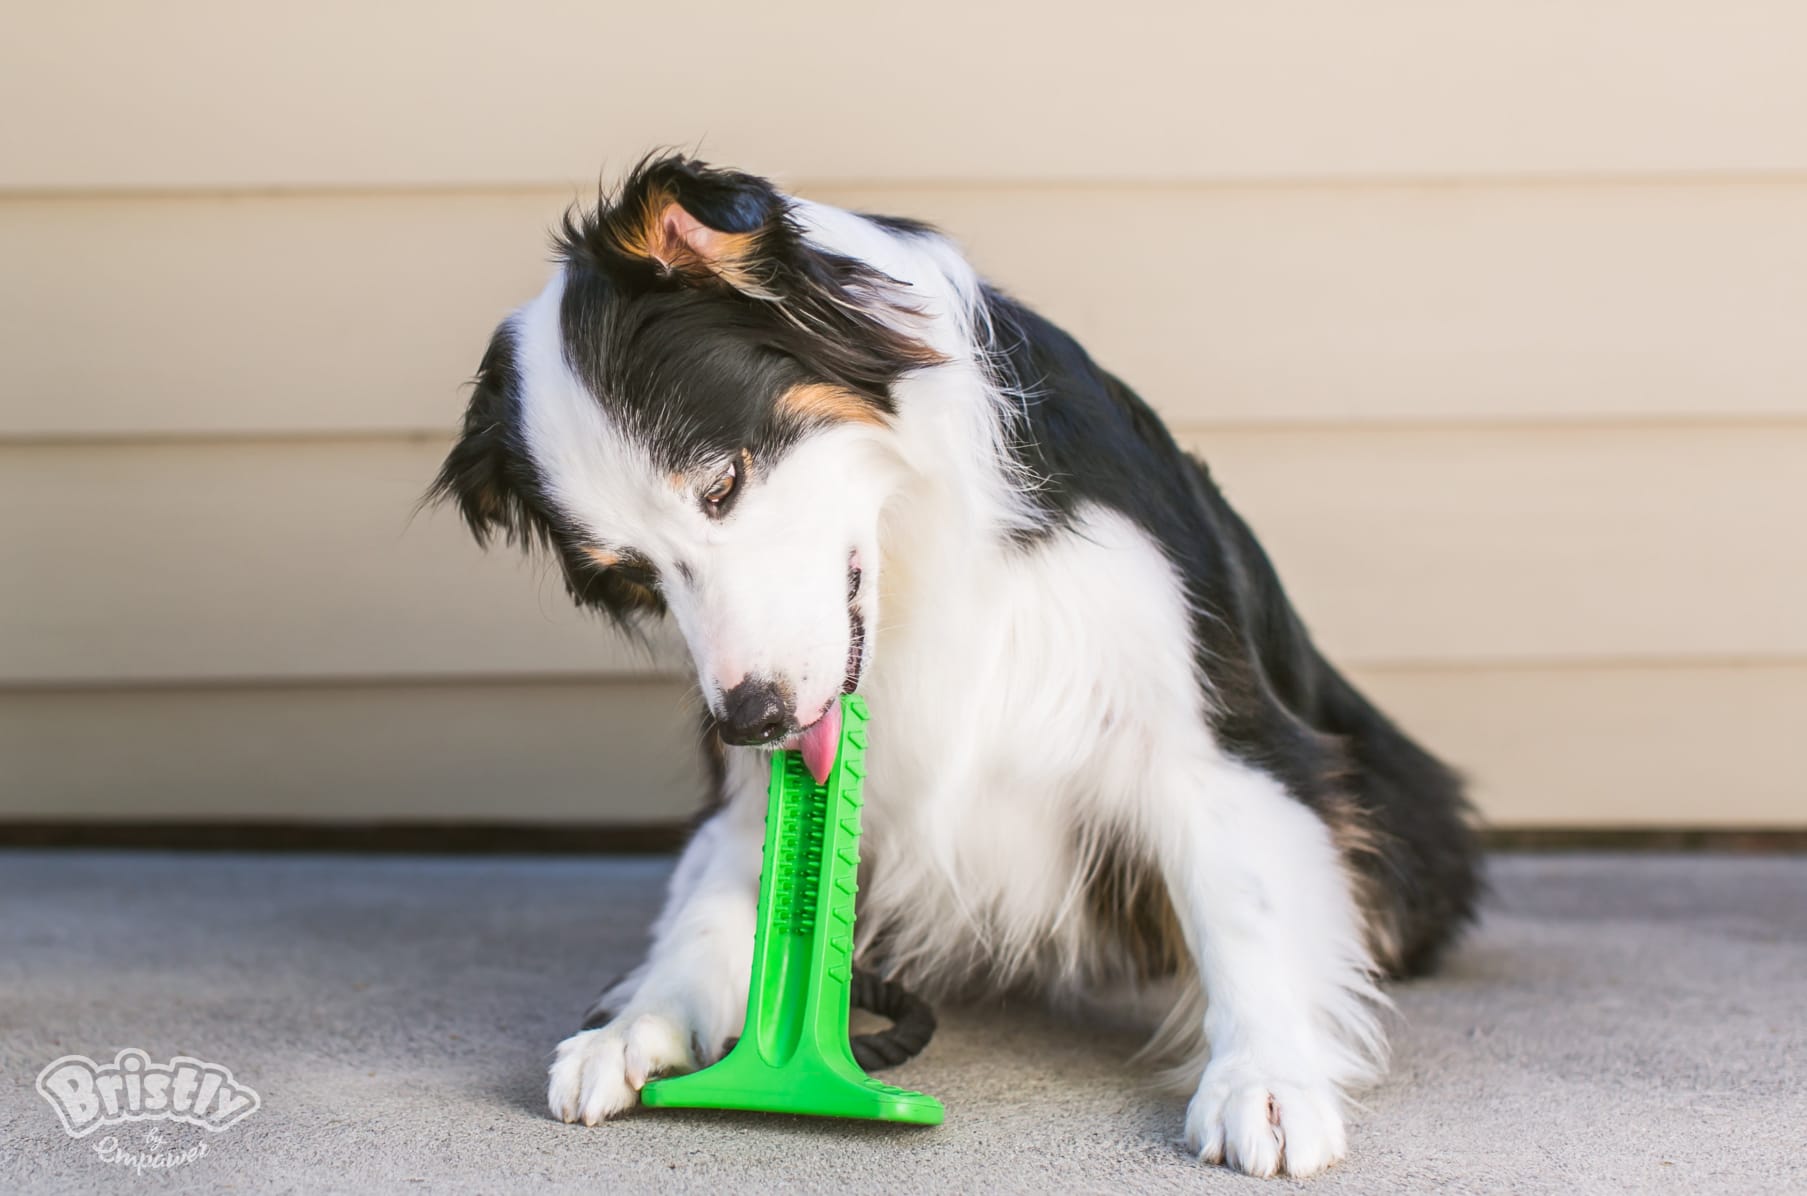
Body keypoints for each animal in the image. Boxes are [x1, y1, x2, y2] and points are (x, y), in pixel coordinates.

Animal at [433, 154, 1481, 1177]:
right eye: (631, 575)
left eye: (721, 482)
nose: (750, 719)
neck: (915, 548)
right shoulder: (754, 779)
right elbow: (720, 901)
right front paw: (639, 1023)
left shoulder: (1207, 720)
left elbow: (1244, 898)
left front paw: (1264, 1078)